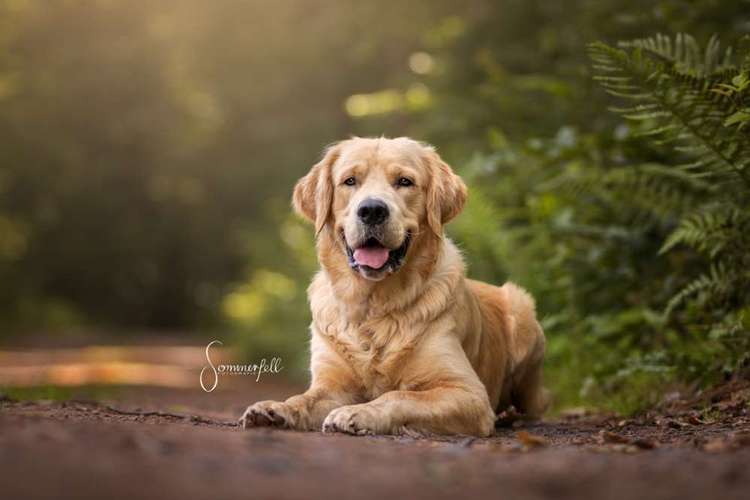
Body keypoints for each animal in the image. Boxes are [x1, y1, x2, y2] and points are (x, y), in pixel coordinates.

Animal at [241, 138, 548, 438]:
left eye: (404, 181)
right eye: (350, 181)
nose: (372, 210)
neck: (374, 305)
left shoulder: (467, 392)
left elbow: (398, 396)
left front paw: (356, 413)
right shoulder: (331, 384)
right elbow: (304, 398)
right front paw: (274, 408)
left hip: (522, 312)